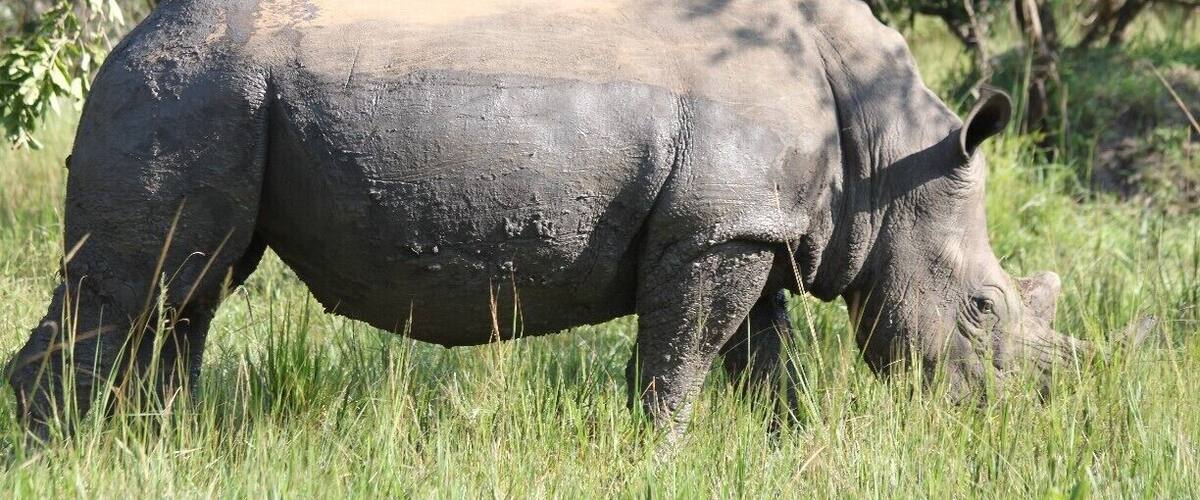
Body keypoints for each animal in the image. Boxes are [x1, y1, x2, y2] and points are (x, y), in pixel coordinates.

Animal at [7, 0, 1098, 441]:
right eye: (985, 311)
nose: (1021, 414)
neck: (885, 158)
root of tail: (133, 36)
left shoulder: (749, 225)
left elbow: (762, 361)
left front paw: (786, 448)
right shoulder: (715, 232)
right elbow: (682, 358)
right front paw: (659, 454)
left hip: (212, 95)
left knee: (186, 293)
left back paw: (163, 442)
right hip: (188, 92)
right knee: (136, 290)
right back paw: (68, 453)